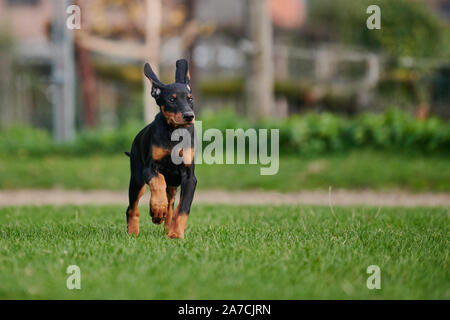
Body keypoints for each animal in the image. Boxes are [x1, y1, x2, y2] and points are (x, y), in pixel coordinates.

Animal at [126, 59, 197, 240]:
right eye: (172, 100)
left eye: (190, 99)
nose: (189, 116)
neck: (174, 133)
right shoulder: (149, 168)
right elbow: (158, 181)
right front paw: (157, 209)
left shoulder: (189, 177)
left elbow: (183, 208)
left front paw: (176, 234)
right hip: (137, 179)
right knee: (132, 207)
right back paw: (133, 231)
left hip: (173, 184)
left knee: (171, 202)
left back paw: (167, 225)